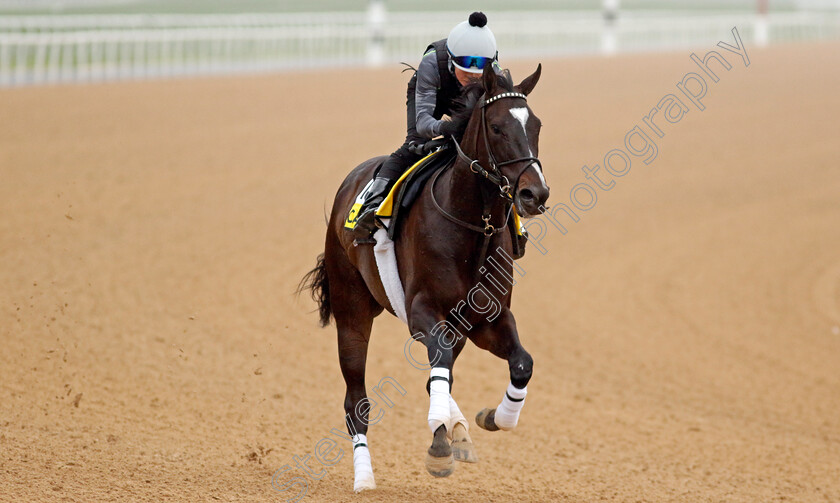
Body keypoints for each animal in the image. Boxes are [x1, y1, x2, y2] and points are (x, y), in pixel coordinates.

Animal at [298, 63, 548, 492]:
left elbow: (521, 363)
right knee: (356, 402)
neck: (471, 225)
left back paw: (459, 430)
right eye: (497, 127)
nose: (536, 194)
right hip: (352, 311)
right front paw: (440, 444)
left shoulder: (487, 318)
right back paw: (364, 478)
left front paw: (493, 419)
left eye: (536, 125)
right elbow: (439, 370)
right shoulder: (422, 313)